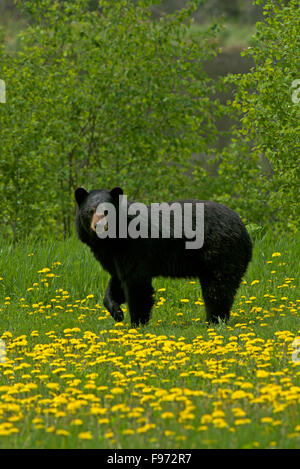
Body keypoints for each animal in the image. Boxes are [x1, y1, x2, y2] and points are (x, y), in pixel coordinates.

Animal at [74, 186, 251, 326]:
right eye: (90, 211)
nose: (99, 226)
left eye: (107, 212)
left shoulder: (135, 248)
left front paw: (137, 323)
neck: (112, 241)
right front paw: (117, 312)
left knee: (218, 288)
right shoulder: (114, 257)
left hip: (220, 253)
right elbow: (117, 280)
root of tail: (244, 229)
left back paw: (214, 320)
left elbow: (137, 284)